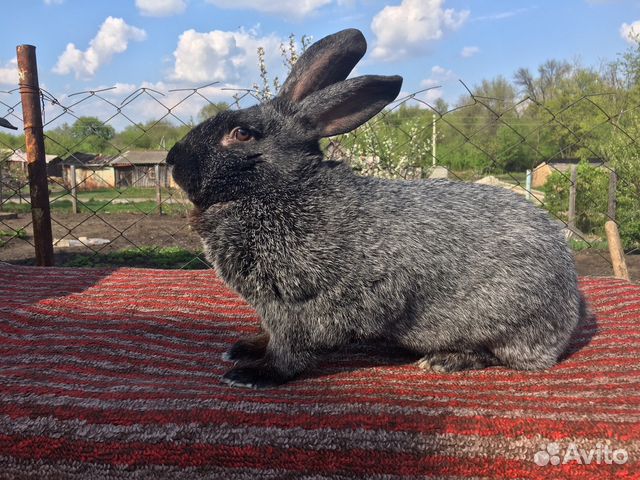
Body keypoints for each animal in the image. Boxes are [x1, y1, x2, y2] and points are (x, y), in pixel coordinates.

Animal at [166, 28, 584, 388]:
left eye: (241, 134)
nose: (172, 160)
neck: (282, 188)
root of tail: (569, 300)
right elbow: (269, 336)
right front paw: (245, 348)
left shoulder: (300, 306)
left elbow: (290, 351)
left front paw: (256, 374)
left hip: (504, 323)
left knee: (501, 356)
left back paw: (446, 360)